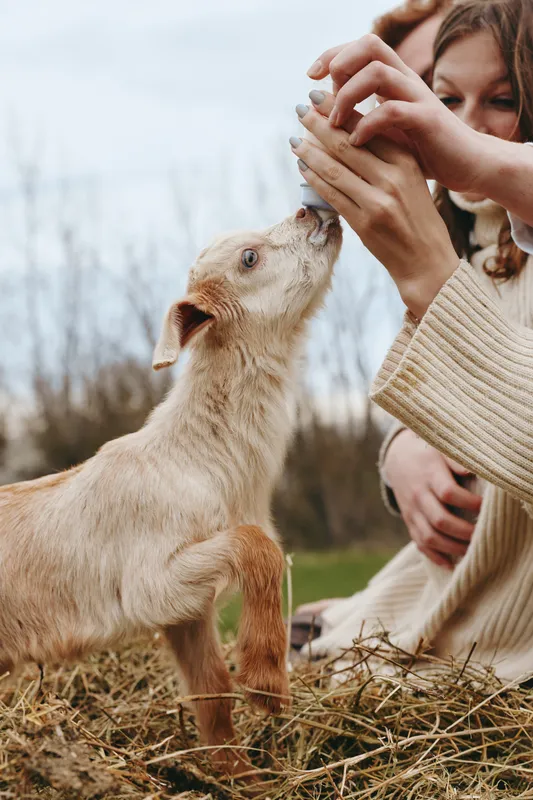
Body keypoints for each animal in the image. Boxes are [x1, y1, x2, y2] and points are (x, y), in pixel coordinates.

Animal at [0, 207, 342, 774]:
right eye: (249, 258)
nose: (314, 211)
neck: (201, 460)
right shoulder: (150, 580)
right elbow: (260, 548)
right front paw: (268, 684)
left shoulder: (187, 610)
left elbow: (213, 690)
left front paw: (240, 774)